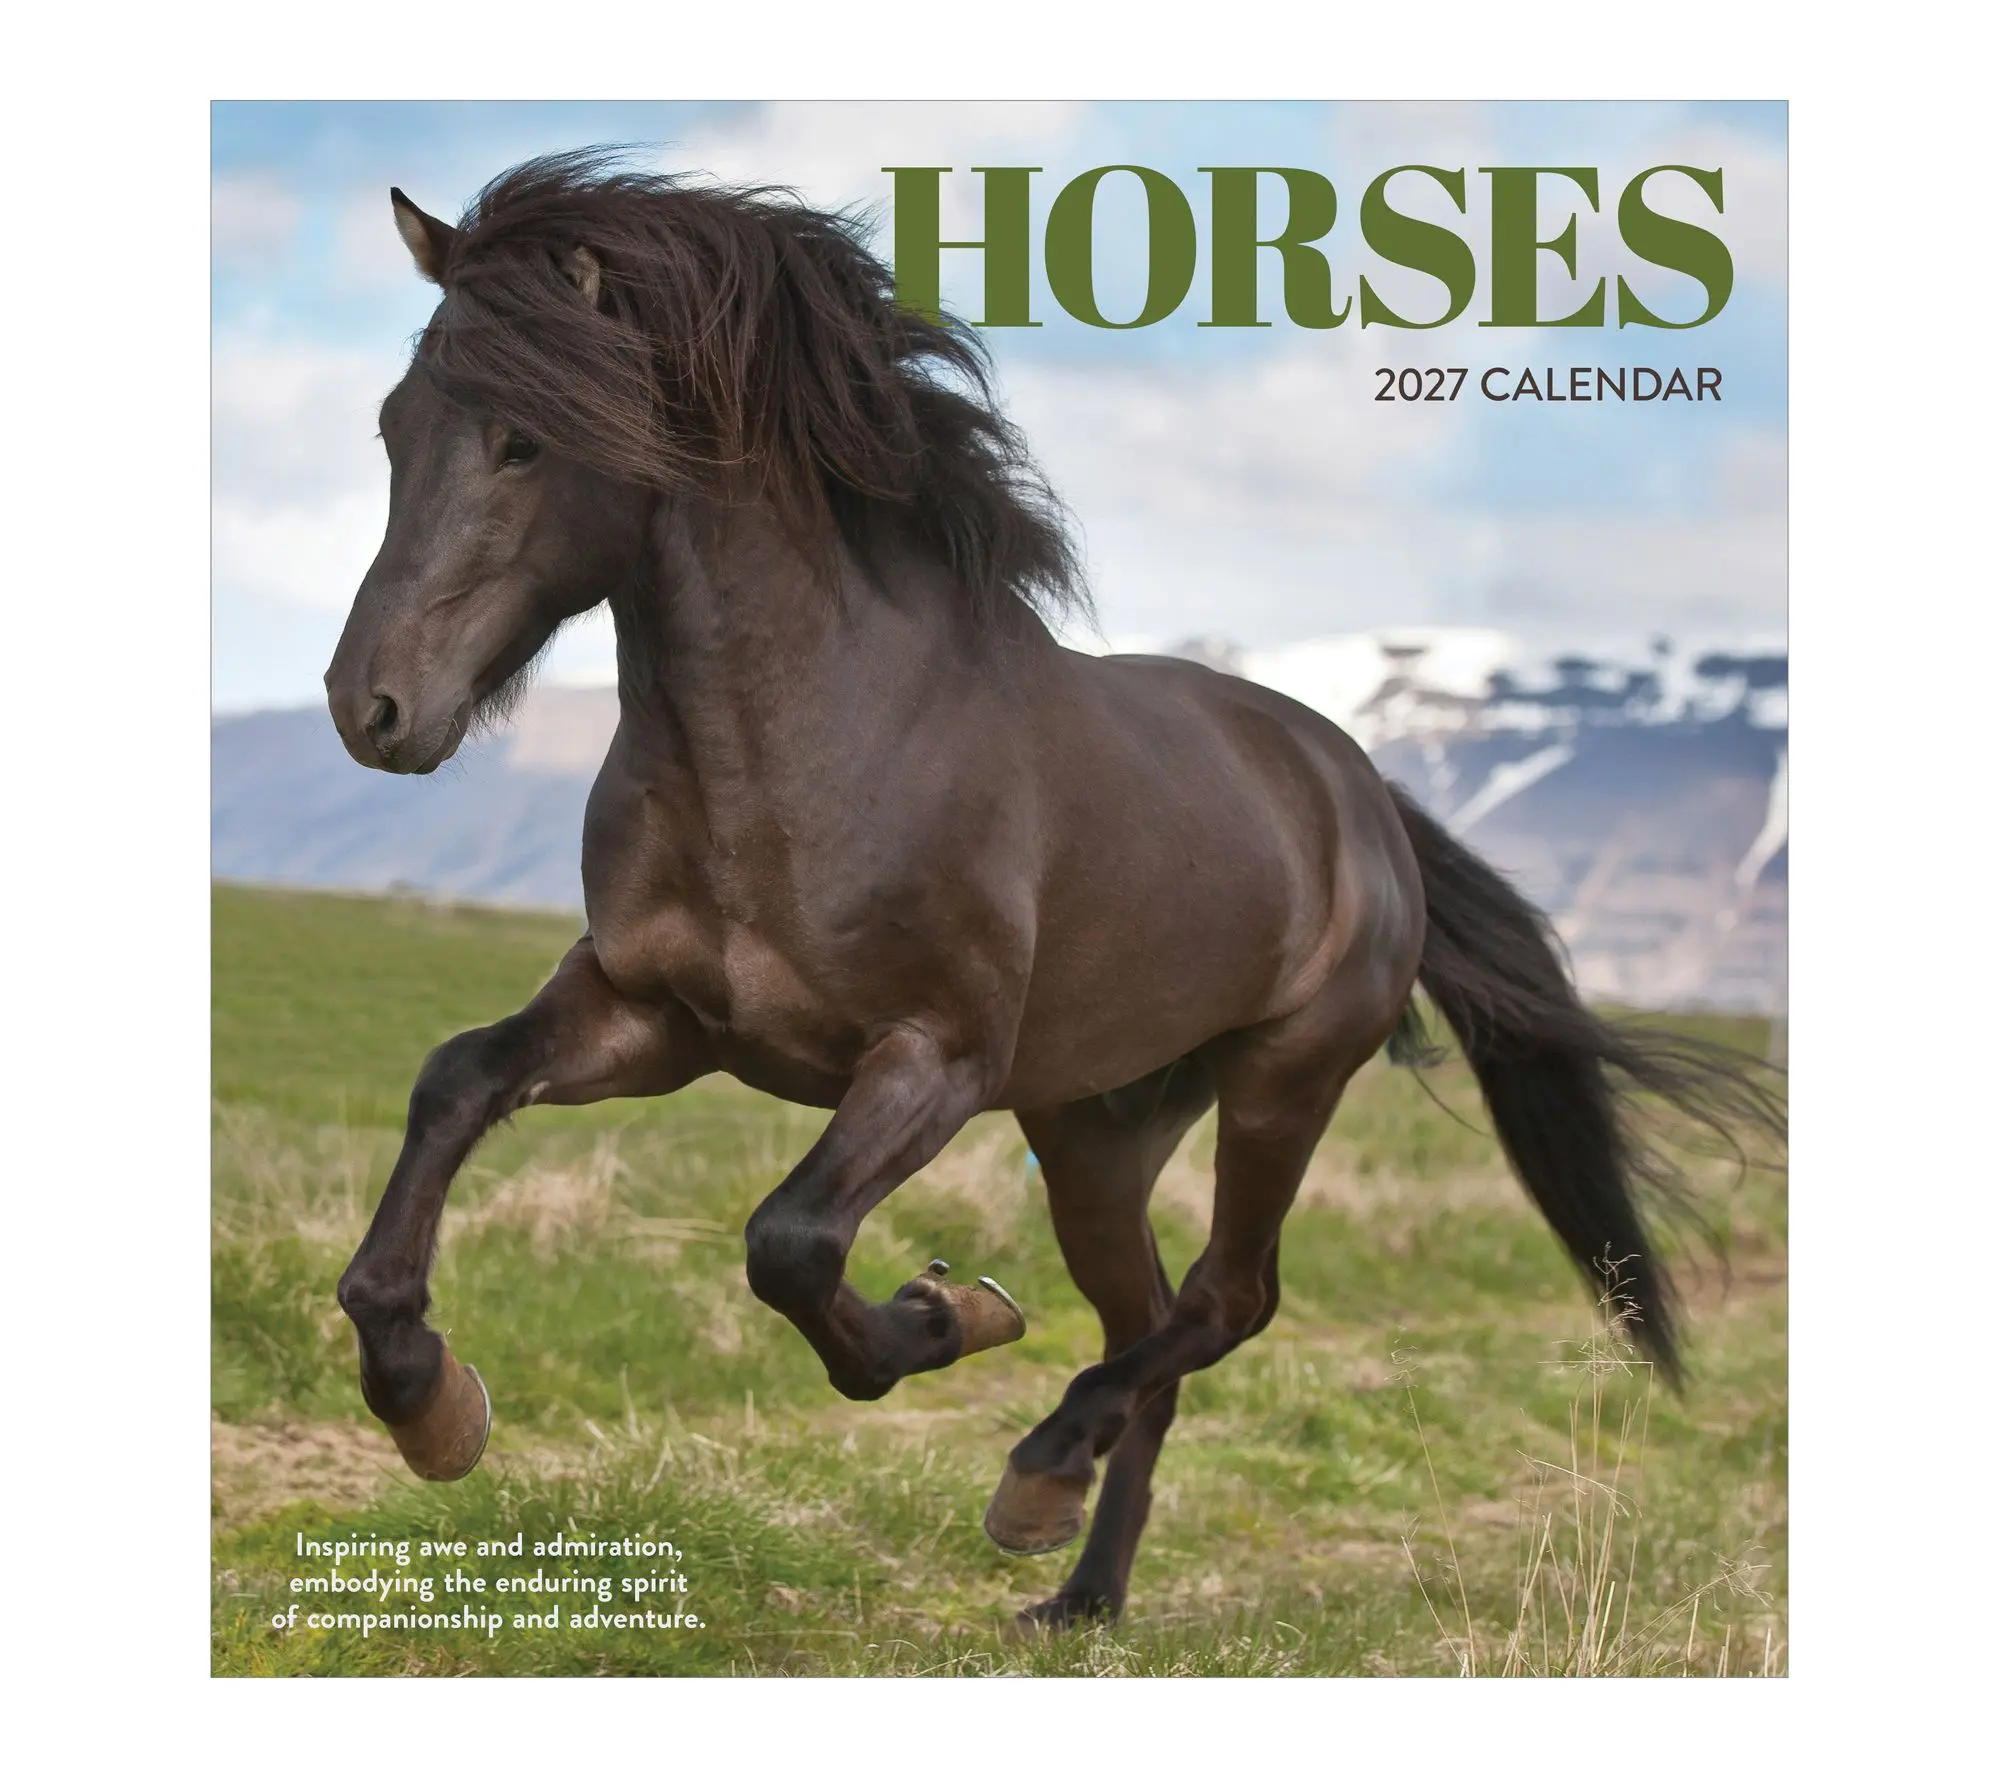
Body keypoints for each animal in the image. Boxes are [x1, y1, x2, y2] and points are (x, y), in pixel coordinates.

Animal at [324, 150, 1779, 1630]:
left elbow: (791, 1239)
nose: (369, 706)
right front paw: (426, 1398)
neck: (807, 745)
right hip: (1095, 1131)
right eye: (394, 427)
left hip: (1283, 1080)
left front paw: (944, 1315)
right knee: (1151, 1326)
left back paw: (1039, 1469)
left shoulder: (934, 1056)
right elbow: (456, 1080)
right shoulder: (652, 1015)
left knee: (1226, 1299)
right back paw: (1079, 1585)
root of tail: (1360, 791)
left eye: (524, 439)